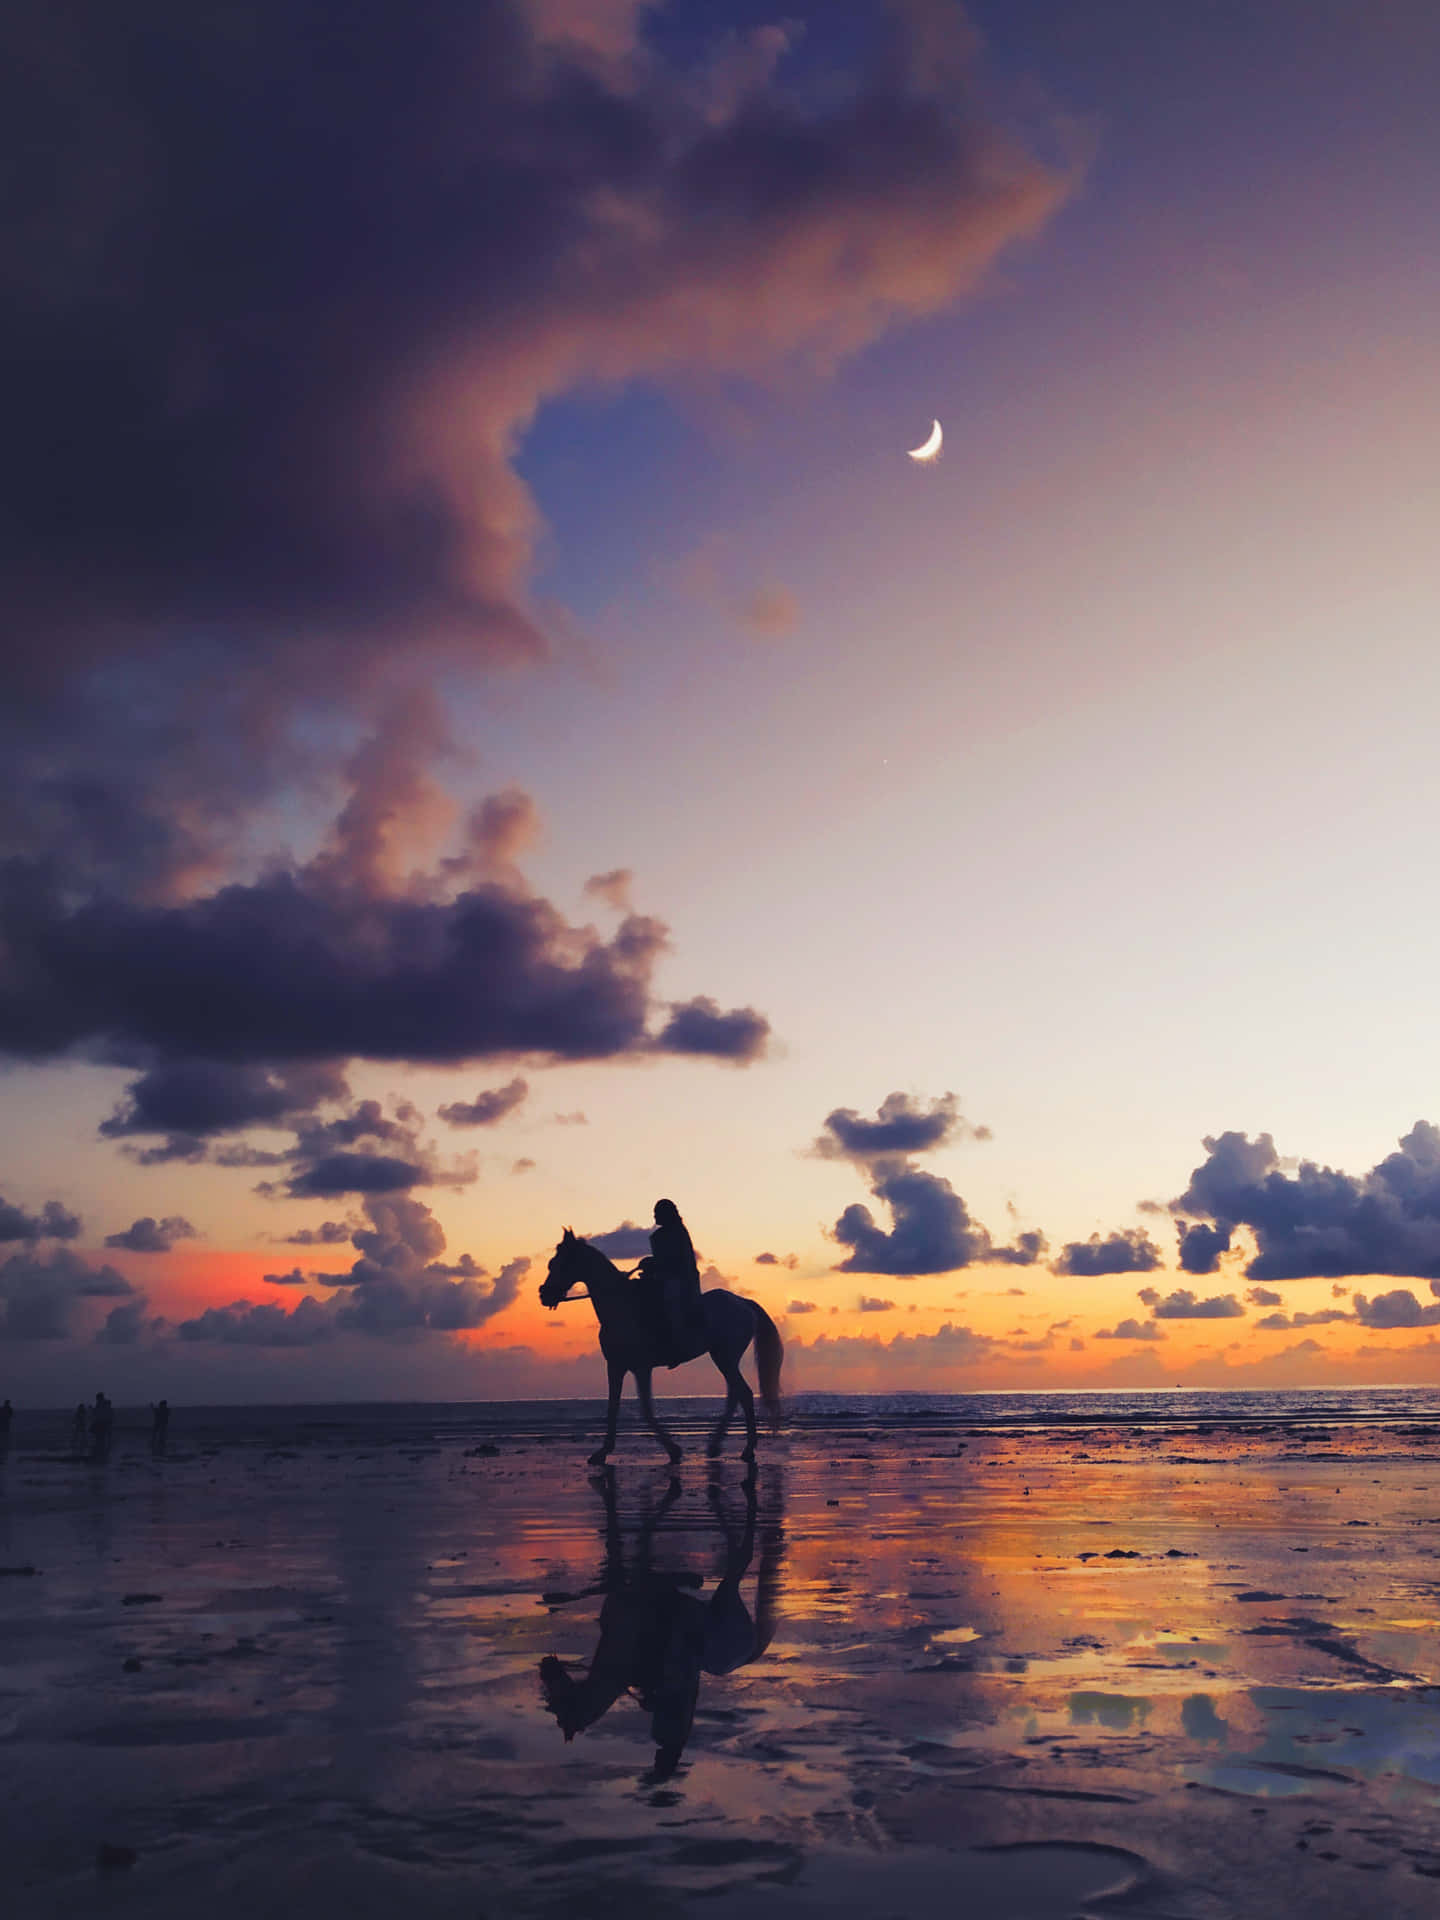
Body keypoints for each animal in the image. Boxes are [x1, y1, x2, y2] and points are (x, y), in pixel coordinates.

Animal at [541, 1228, 791, 1466]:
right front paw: (603, 1451)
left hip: (725, 1358)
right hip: (724, 1358)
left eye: (560, 1264)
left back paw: (748, 1449)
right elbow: (613, 1407)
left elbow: (646, 1410)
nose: (544, 1294)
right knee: (735, 1396)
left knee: (744, 1394)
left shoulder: (641, 1368)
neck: (621, 1306)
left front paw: (673, 1449)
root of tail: (743, 1302)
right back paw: (715, 1446)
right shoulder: (615, 1366)